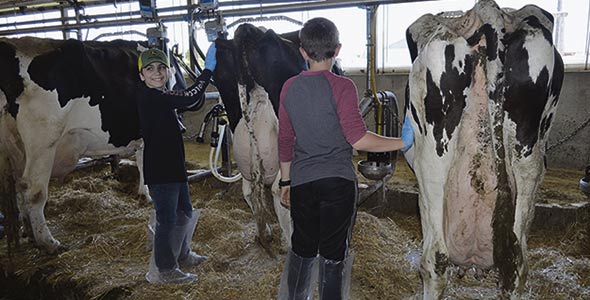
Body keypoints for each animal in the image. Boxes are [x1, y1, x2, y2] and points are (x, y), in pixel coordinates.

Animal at [0, 36, 185, 254]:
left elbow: (142, 161)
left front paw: (144, 195)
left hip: (14, 149)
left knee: (18, 187)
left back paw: (28, 232)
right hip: (43, 140)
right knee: (33, 190)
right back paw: (49, 242)